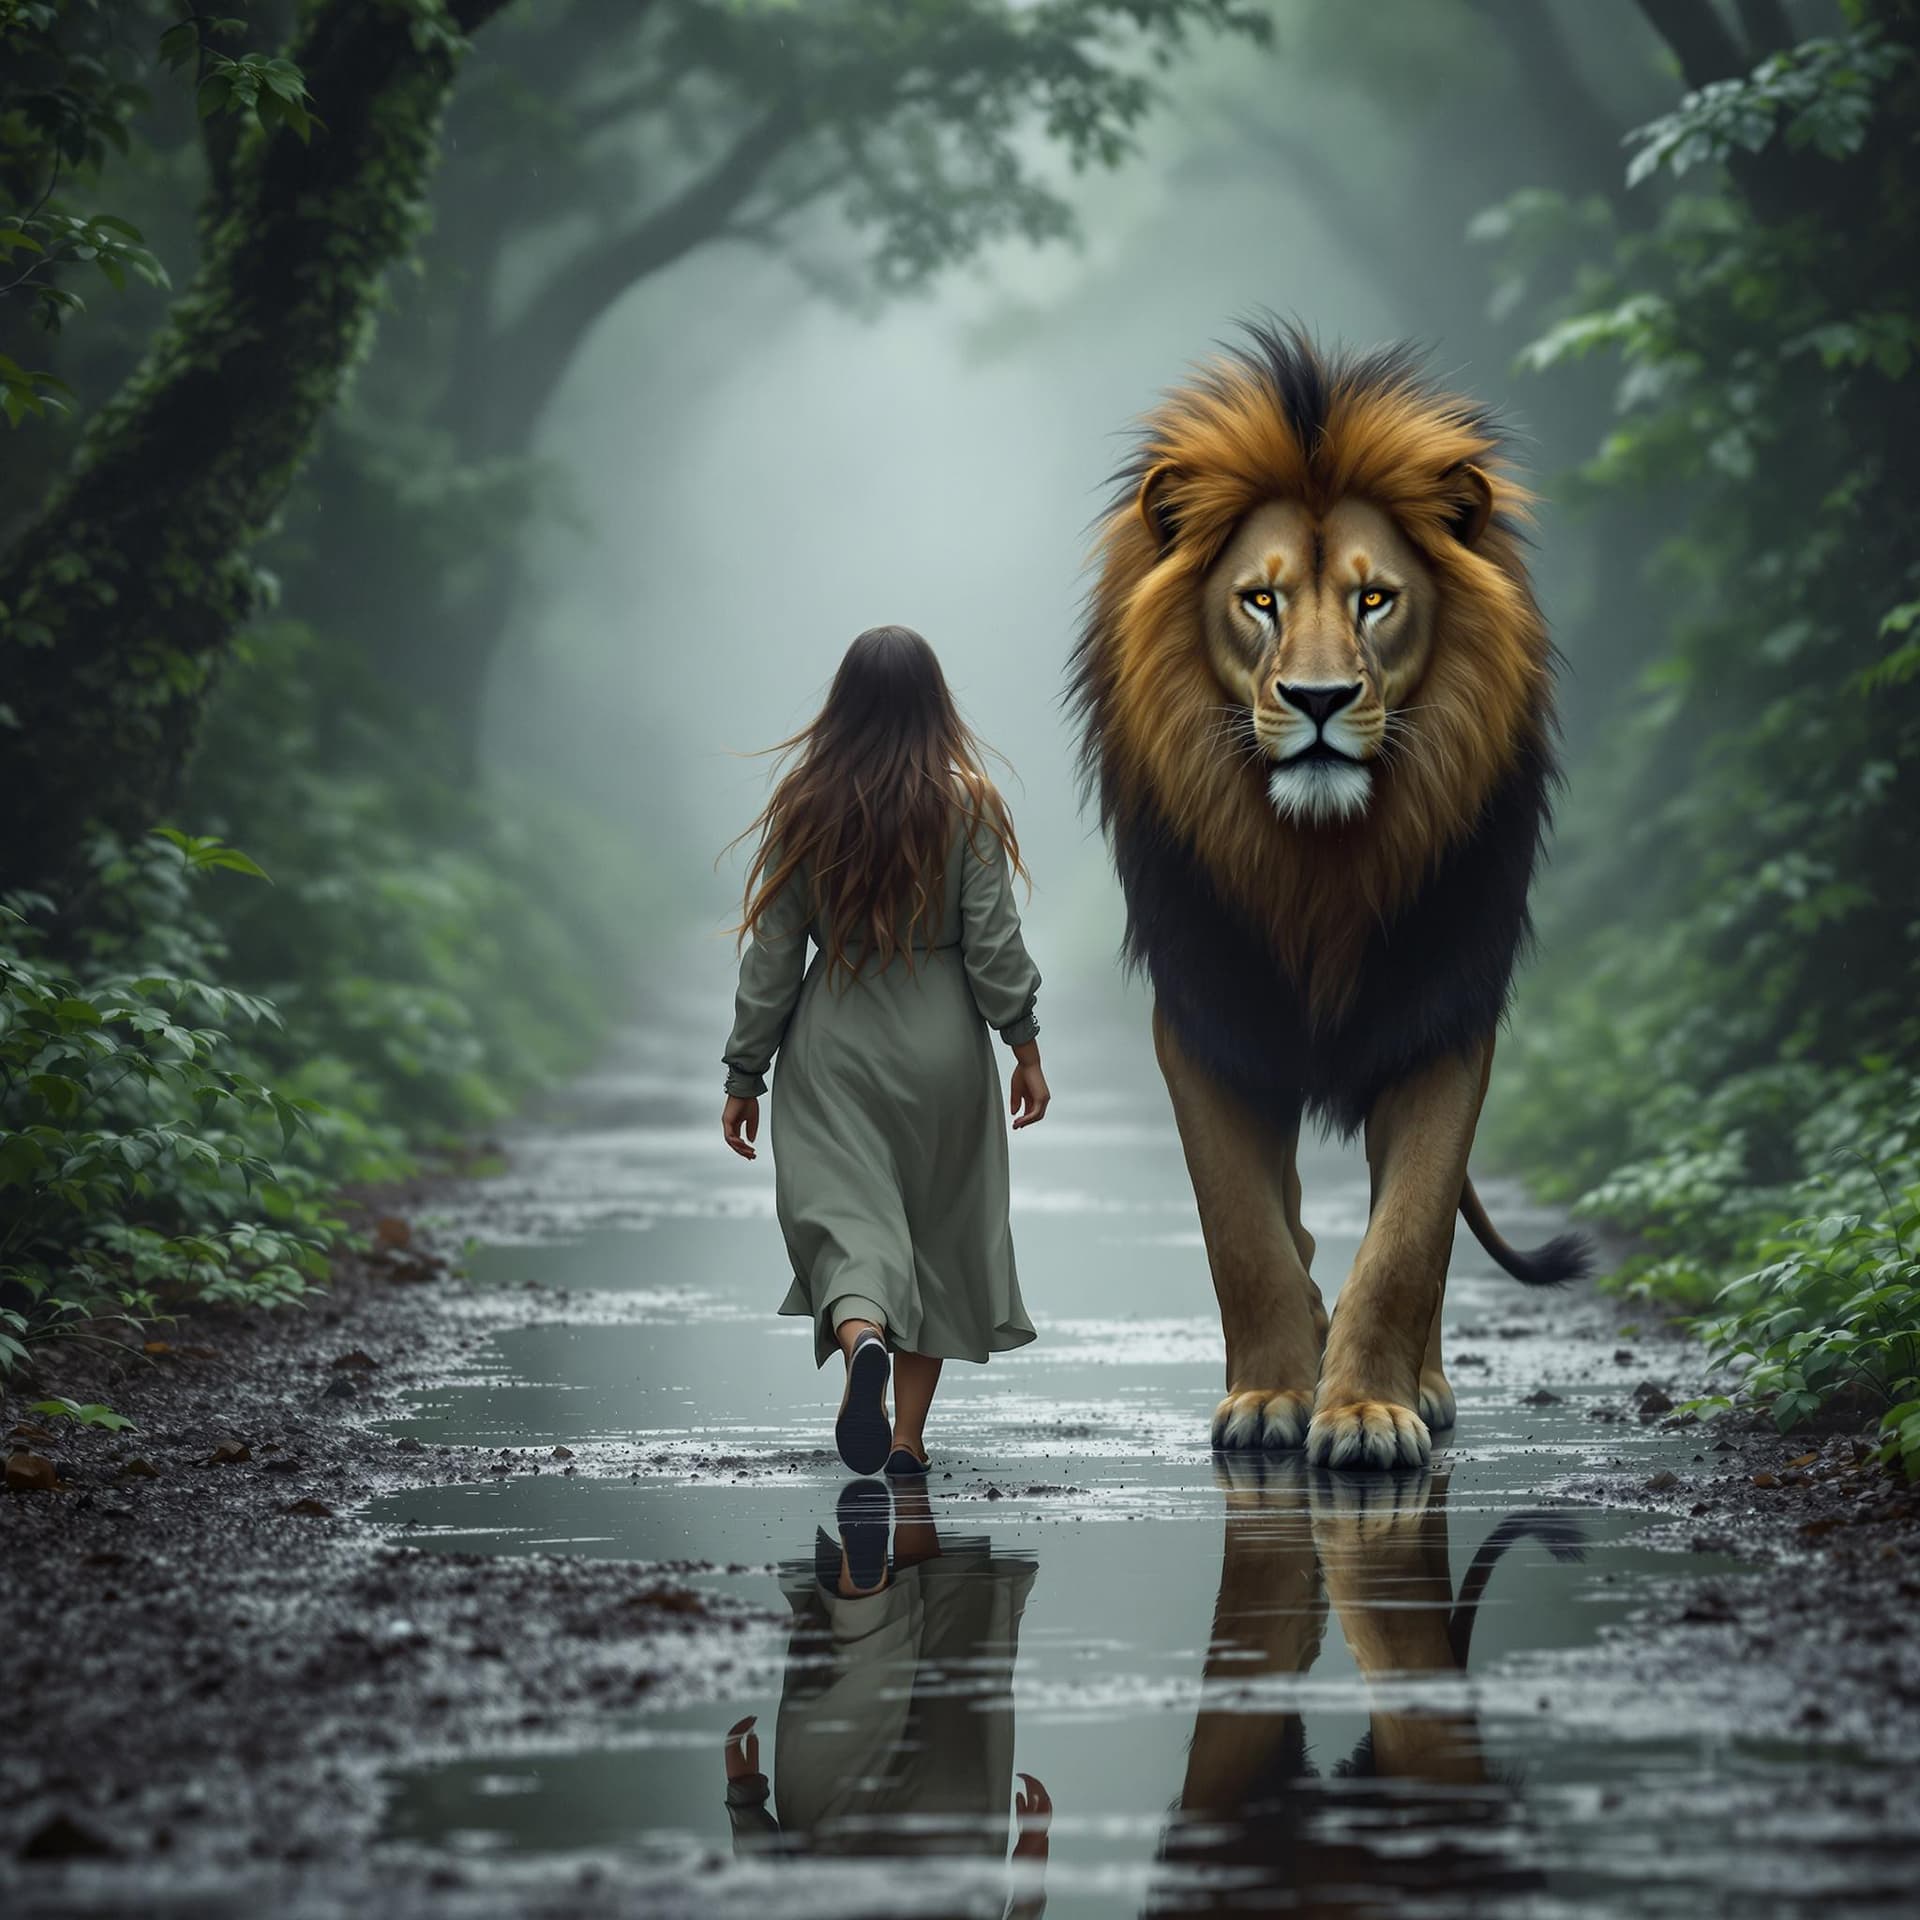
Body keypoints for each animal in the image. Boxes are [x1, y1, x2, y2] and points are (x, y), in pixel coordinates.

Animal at [1071, 322, 1590, 1472]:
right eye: (1259, 599)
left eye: (1374, 598)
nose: (1317, 700)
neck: (1320, 863)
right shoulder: (1207, 1016)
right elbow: (1242, 1234)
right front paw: (1273, 1393)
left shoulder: (1444, 1016)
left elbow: (1410, 1239)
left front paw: (1366, 1413)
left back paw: (1420, 1385)